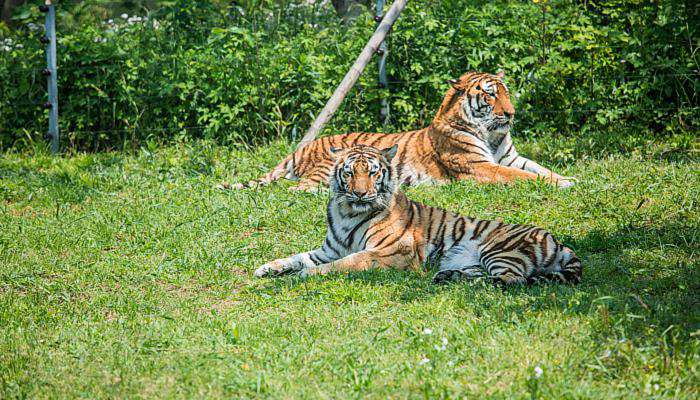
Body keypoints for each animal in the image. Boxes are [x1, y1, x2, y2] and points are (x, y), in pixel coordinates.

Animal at [226, 70, 576, 192]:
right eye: (490, 95)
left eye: (505, 92)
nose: (511, 113)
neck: (491, 133)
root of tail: (302, 148)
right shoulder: (480, 167)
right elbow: (523, 177)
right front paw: (560, 184)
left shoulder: (511, 158)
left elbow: (539, 168)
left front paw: (568, 179)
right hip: (327, 167)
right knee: (297, 189)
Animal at [254, 144, 584, 284]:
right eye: (349, 173)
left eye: (372, 172)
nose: (360, 193)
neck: (347, 212)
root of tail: (559, 242)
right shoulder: (328, 249)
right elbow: (296, 256)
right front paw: (267, 268)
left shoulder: (388, 252)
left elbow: (344, 264)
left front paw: (305, 275)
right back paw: (447, 276)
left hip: (499, 250)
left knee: (509, 281)